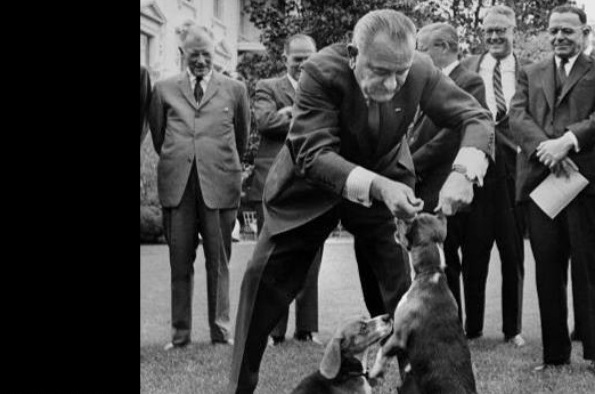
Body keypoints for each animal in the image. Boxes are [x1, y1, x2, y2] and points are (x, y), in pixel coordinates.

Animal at [370, 214, 478, 392]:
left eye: (410, 220)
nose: (396, 216)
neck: (431, 272)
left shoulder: (398, 335)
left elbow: (381, 351)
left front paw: (373, 373)